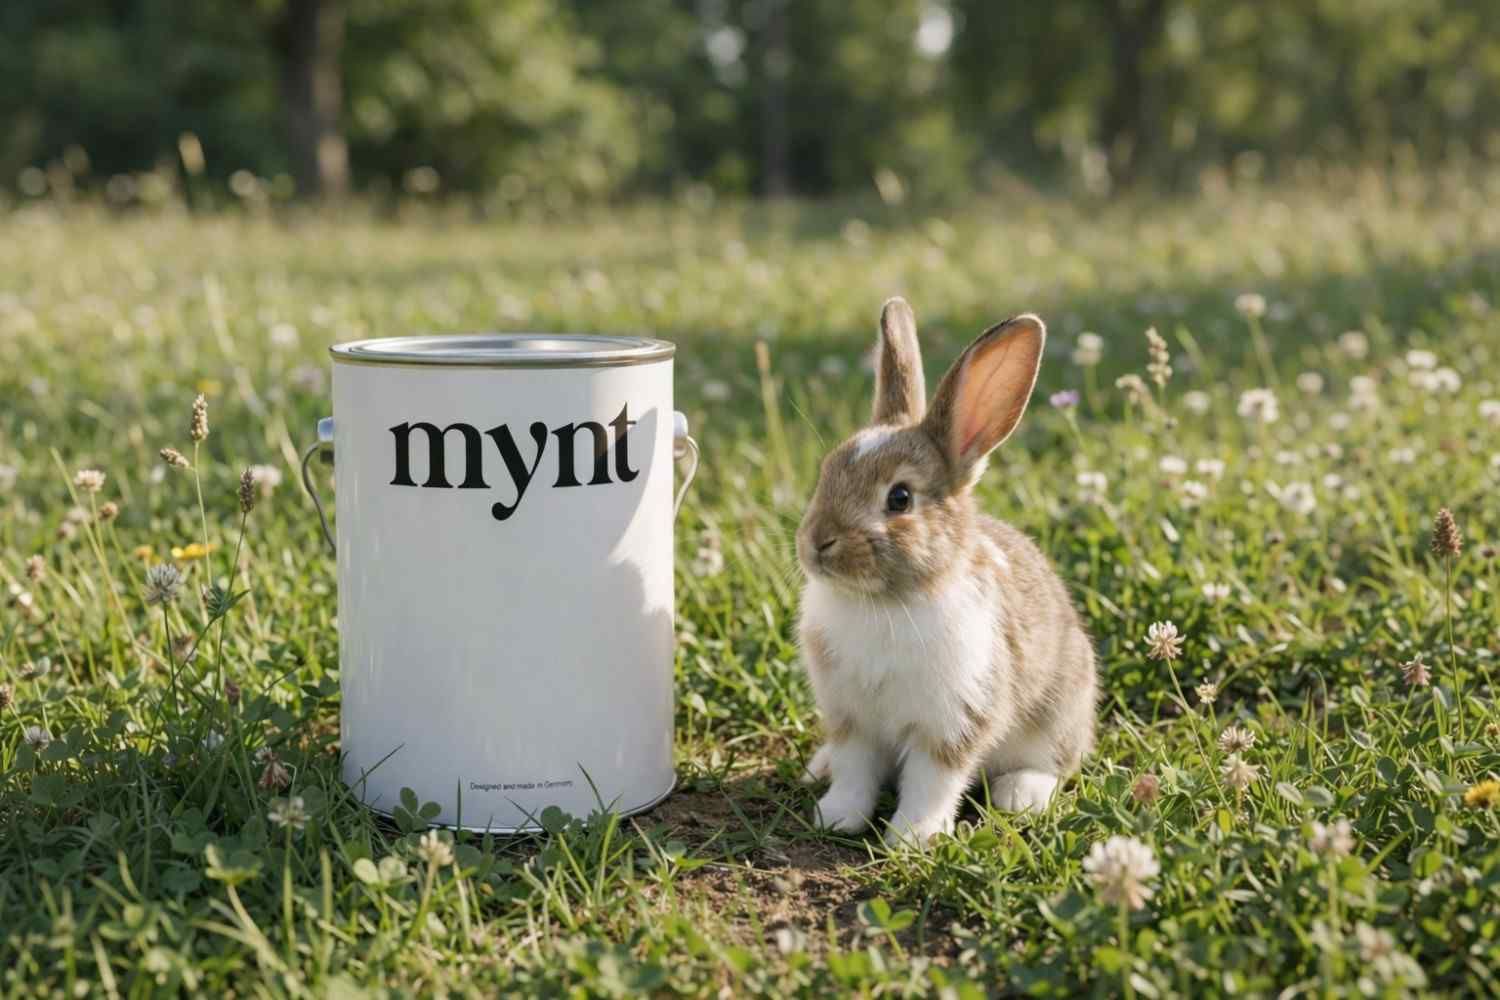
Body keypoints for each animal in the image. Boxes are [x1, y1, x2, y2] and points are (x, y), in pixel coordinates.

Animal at [796, 297, 1097, 847]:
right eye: (826, 471)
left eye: (900, 498)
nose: (816, 543)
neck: (882, 602)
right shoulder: (852, 720)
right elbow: (854, 771)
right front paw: (837, 816)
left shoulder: (953, 719)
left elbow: (932, 781)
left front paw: (911, 838)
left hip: (1058, 712)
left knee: (1055, 763)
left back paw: (1020, 794)